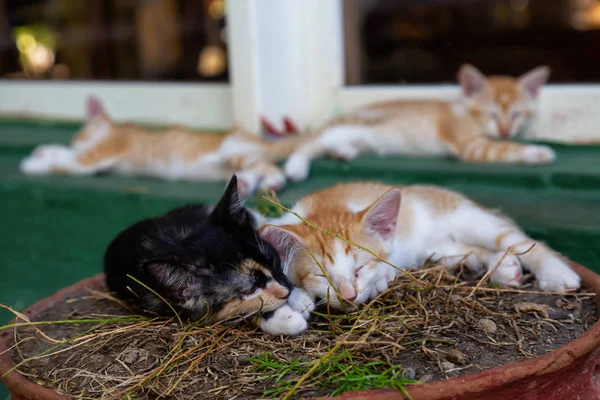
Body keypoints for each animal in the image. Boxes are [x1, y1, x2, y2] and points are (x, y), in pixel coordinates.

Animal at [19, 97, 304, 197]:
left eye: (78, 134)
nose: (76, 140)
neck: (113, 129)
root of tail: (257, 138)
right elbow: (68, 156)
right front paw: (46, 150)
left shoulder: (104, 152)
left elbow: (71, 164)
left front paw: (35, 164)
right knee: (252, 171)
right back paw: (244, 185)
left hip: (230, 151)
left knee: (268, 166)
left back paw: (274, 181)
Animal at [262, 182, 580, 316]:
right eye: (322, 276)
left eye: (360, 268)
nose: (348, 296)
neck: (326, 208)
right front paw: (299, 299)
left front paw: (381, 281)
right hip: (441, 250)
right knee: (471, 251)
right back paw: (505, 268)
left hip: (468, 218)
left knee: (517, 241)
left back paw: (556, 274)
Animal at [284, 63, 552, 182]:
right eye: (492, 114)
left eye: (517, 114)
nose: (505, 129)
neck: (464, 113)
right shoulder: (469, 144)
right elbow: (502, 149)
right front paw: (537, 152)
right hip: (360, 125)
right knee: (313, 141)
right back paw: (296, 166)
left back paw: (342, 151)